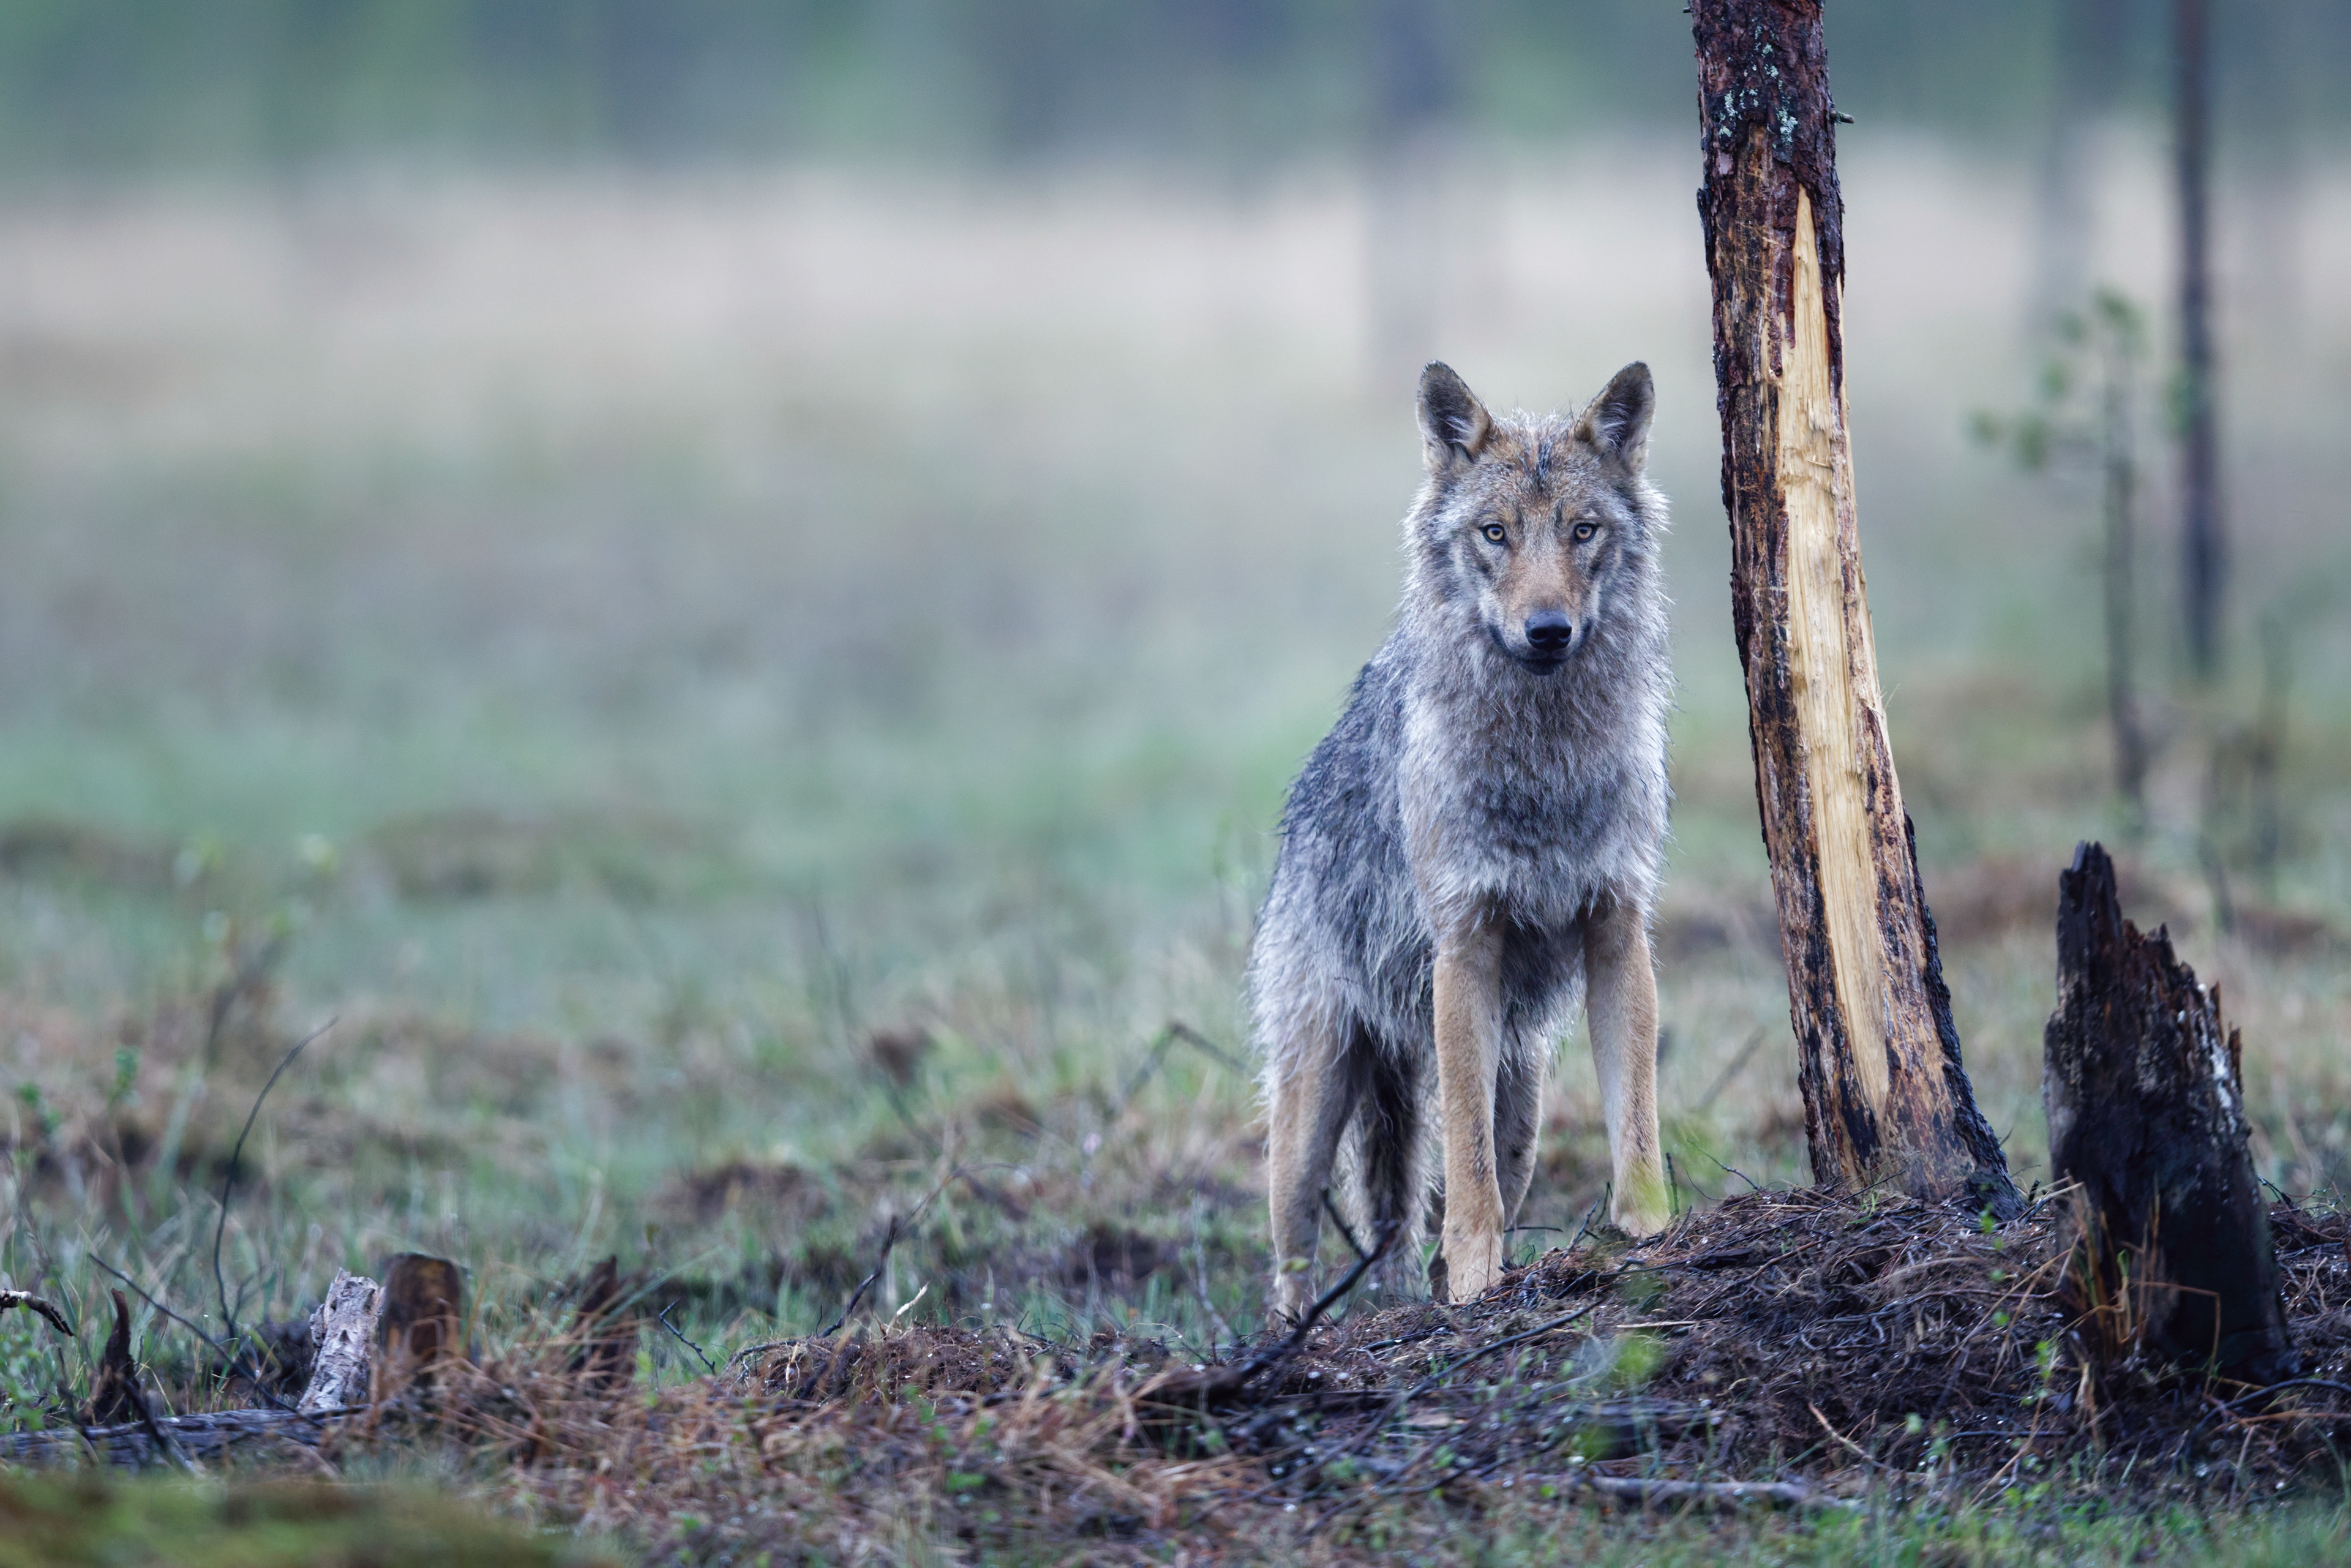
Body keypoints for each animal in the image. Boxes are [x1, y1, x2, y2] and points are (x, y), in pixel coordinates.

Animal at [1252, 360, 1673, 1318]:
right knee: (1295, 1250)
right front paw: (1482, 1276)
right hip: (1312, 1106)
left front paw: (1651, 1234)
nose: (1548, 630)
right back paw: (1299, 1334)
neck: (1543, 764)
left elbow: (1635, 1117)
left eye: (1582, 530)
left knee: (1419, 1218)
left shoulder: (1617, 930)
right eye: (1495, 534)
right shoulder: (1464, 947)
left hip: (1522, 1095)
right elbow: (1466, 1168)